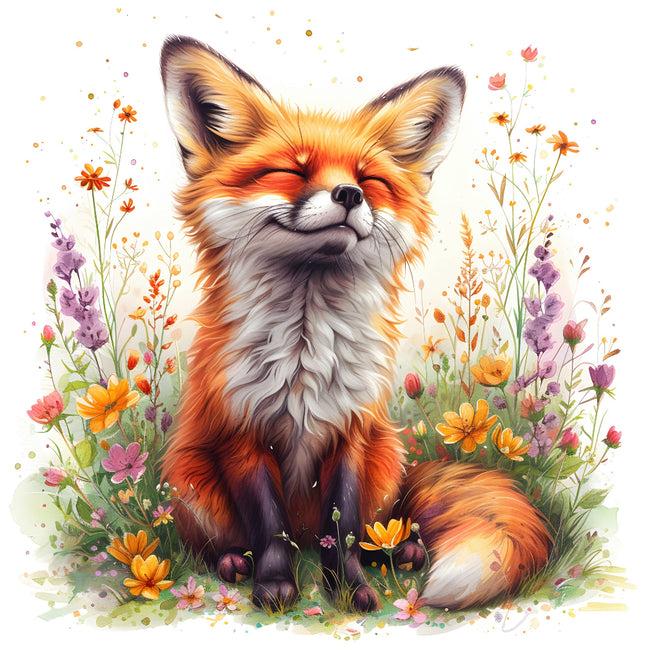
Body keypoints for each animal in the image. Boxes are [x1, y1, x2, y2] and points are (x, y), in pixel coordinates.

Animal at [160, 35, 552, 613]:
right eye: (293, 172)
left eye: (369, 179)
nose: (349, 195)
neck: (304, 351)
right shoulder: (242, 432)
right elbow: (269, 526)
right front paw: (275, 586)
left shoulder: (351, 432)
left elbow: (341, 527)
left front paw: (347, 587)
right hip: (189, 477)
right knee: (227, 540)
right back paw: (233, 562)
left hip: (386, 461)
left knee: (377, 527)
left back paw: (398, 552)